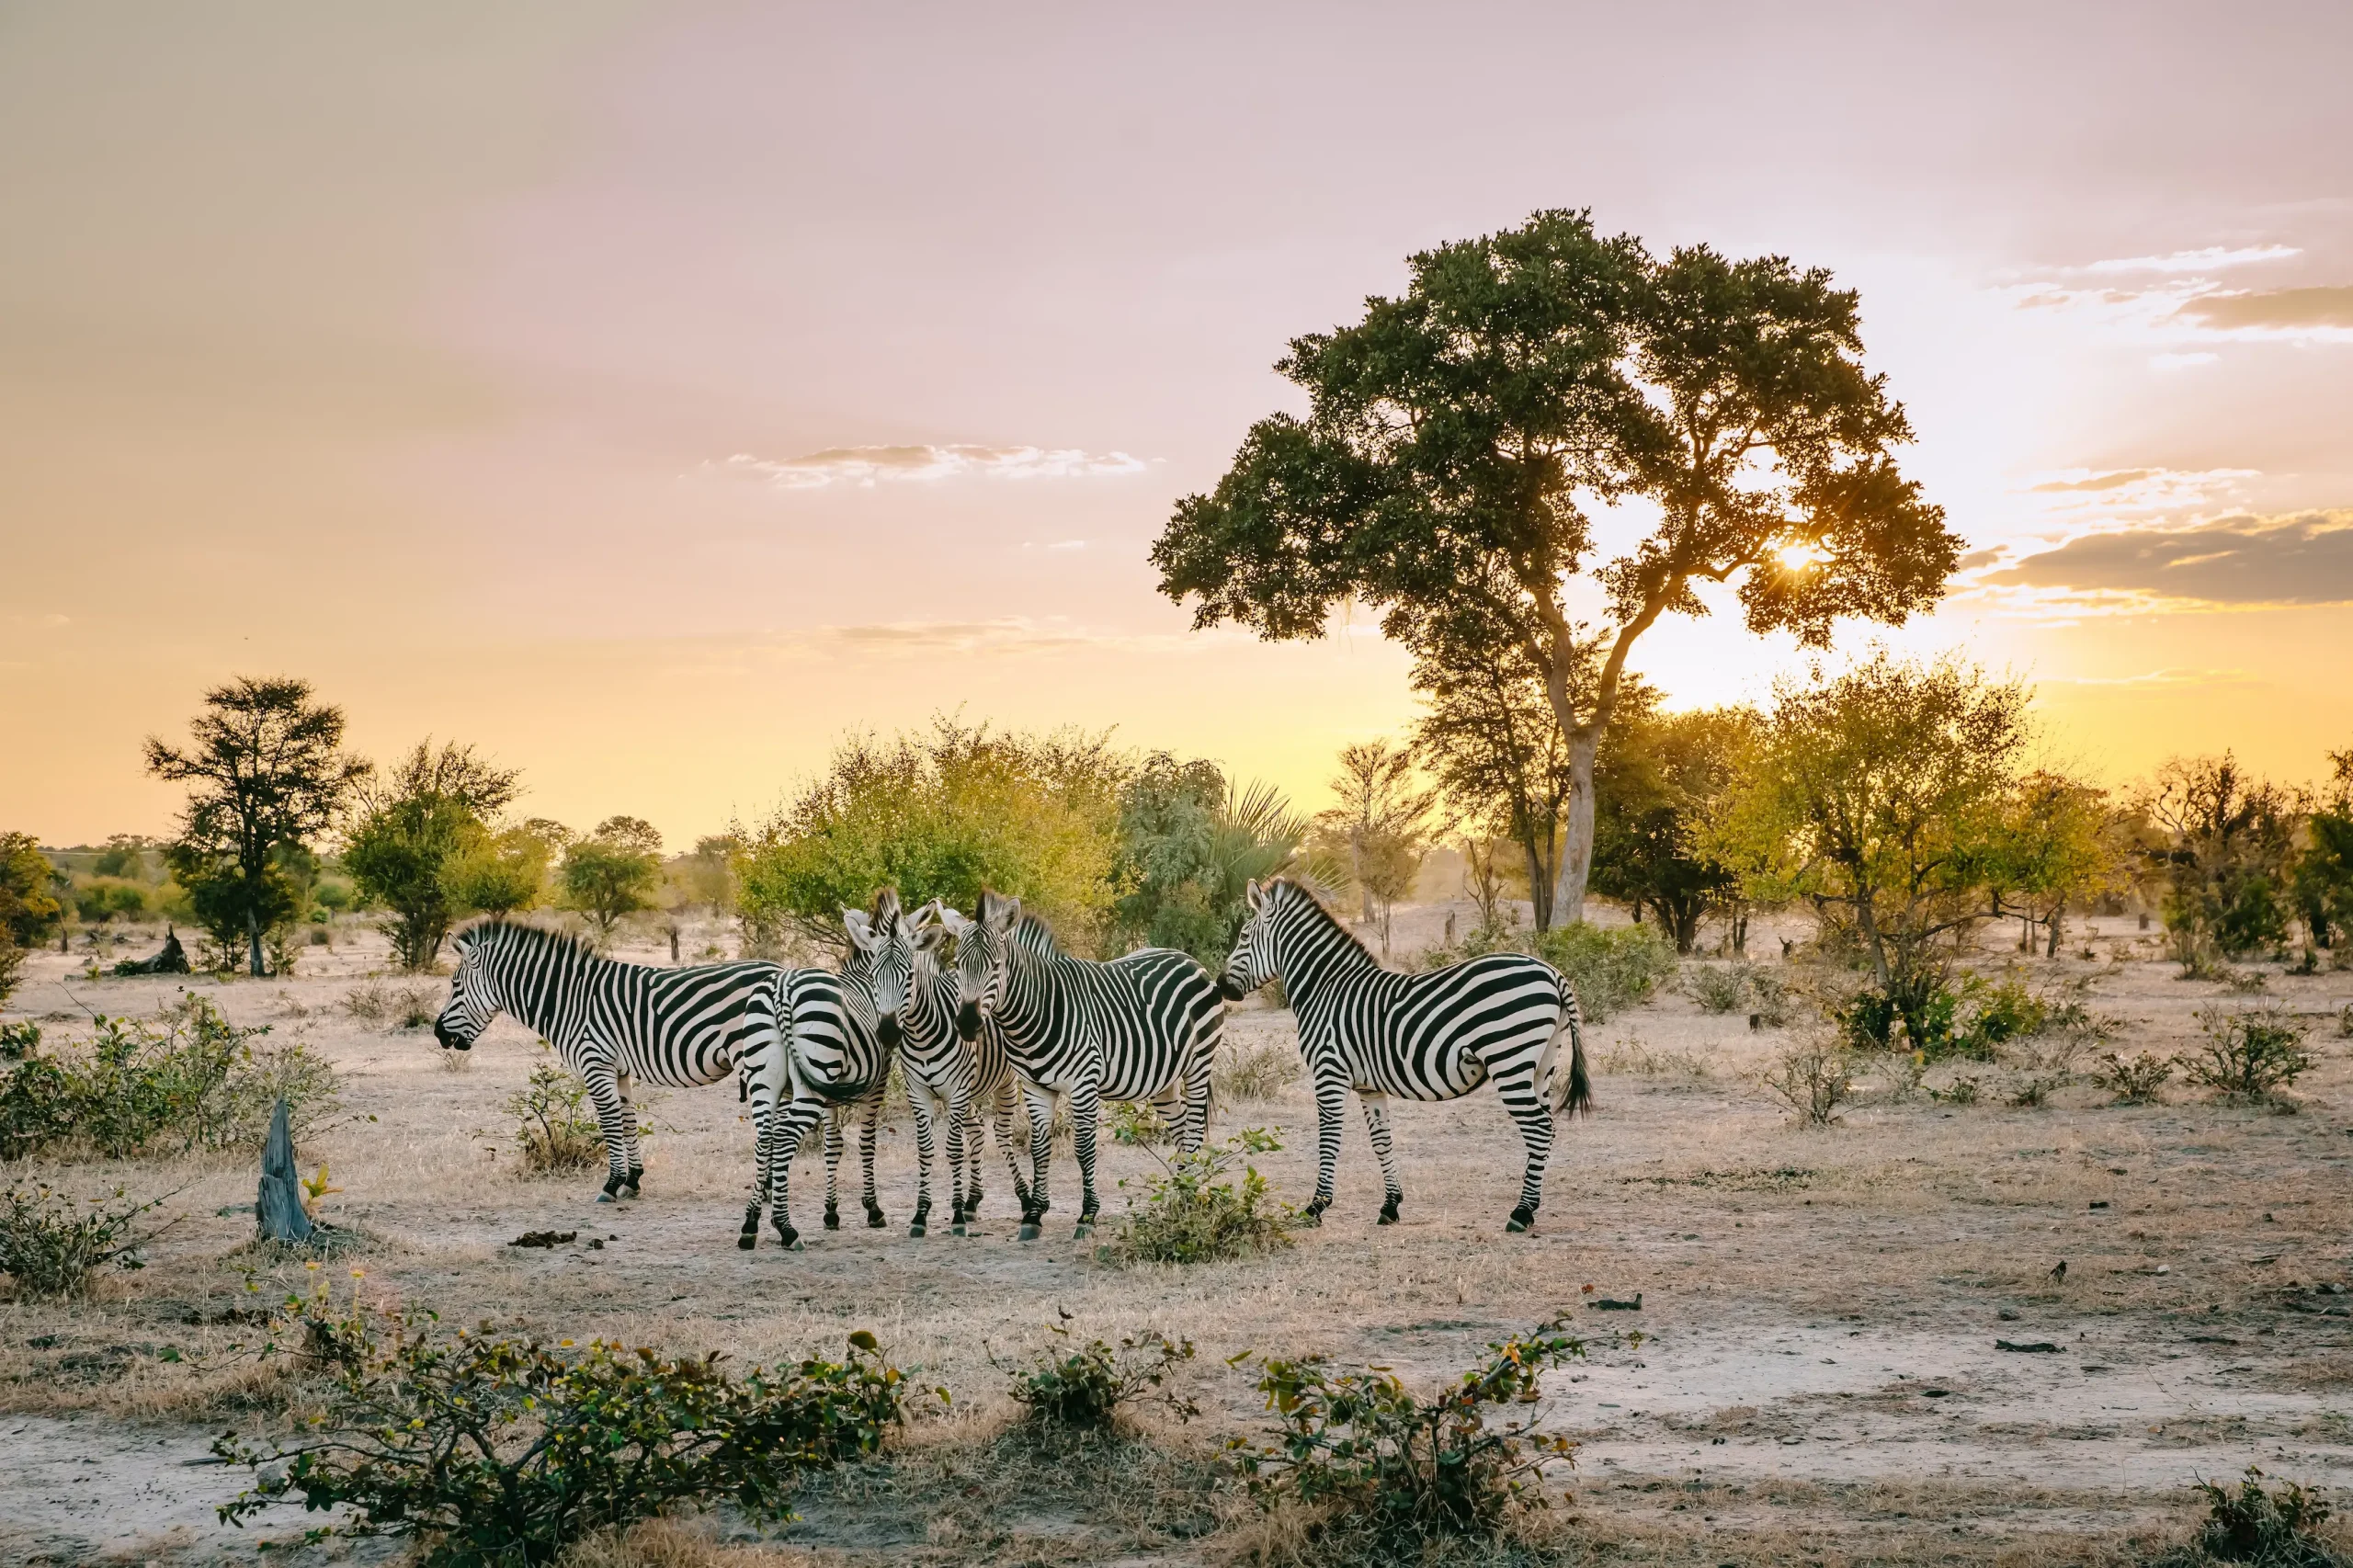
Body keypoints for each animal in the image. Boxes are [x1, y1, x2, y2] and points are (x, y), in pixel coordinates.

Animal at [432, 920, 779, 1206]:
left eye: (455, 985)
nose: (438, 1033)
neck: (569, 1000)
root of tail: (782, 969)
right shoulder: (620, 1070)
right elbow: (627, 1122)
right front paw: (633, 1182)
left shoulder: (595, 1062)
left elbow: (609, 1123)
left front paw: (611, 1185)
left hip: (757, 1059)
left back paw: (768, 1190)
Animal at [738, 893, 904, 1252]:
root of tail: (782, 989)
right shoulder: (876, 1084)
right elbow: (866, 1142)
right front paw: (872, 1209)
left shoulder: (832, 1093)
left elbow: (833, 1145)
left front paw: (831, 1211)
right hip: (813, 1079)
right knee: (783, 1138)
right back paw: (786, 1229)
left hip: (768, 1081)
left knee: (764, 1139)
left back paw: (751, 1224)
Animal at [898, 898, 1033, 1234]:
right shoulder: (919, 1092)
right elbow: (927, 1149)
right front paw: (924, 1214)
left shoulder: (956, 1090)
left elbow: (954, 1148)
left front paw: (955, 1213)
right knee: (977, 1129)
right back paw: (973, 1199)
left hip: (1006, 1083)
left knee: (1001, 1134)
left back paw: (1024, 1197)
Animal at [940, 889, 1223, 1241]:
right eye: (957, 964)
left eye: (996, 966)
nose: (966, 1024)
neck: (1037, 1011)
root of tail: (1187, 958)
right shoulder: (1035, 1087)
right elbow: (1039, 1147)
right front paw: (1034, 1215)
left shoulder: (1083, 1084)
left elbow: (1084, 1147)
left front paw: (1087, 1216)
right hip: (1163, 1078)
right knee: (1181, 1128)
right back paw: (1180, 1194)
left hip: (1199, 1065)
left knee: (1195, 1129)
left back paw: (1192, 1197)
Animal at [1216, 877, 1589, 1233]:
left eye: (1244, 936)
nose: (1220, 987)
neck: (1325, 988)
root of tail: (1551, 972)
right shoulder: (1368, 1086)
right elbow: (1381, 1141)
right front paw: (1390, 1206)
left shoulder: (1329, 1072)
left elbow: (1329, 1139)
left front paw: (1316, 1207)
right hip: (1541, 1066)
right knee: (1547, 1129)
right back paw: (1531, 1208)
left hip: (1509, 1059)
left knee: (1538, 1128)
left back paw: (1521, 1214)